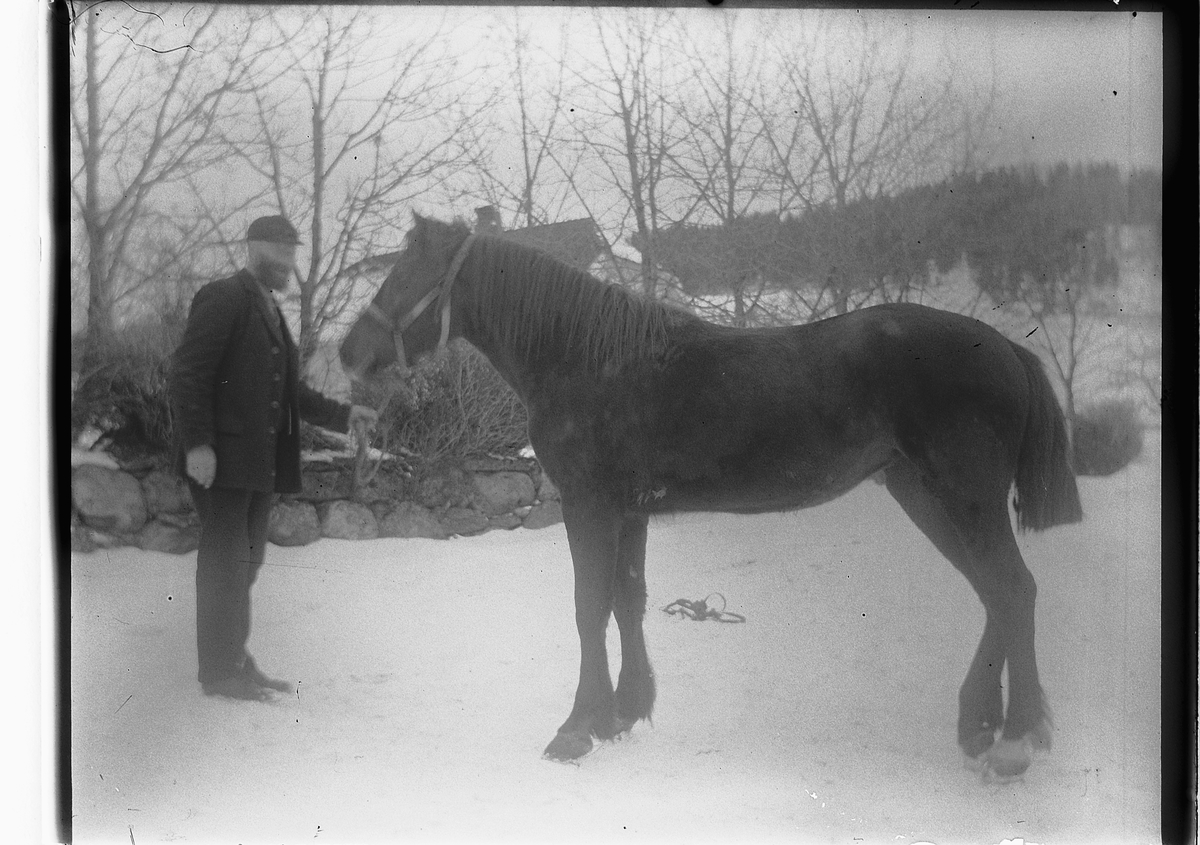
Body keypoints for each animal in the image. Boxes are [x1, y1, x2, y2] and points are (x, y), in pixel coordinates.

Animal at [340, 212, 1089, 777]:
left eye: (409, 275)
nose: (349, 352)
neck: (590, 358)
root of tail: (1005, 348)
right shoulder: (630, 510)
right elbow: (627, 600)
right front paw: (624, 711)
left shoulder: (589, 506)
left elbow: (588, 607)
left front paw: (577, 726)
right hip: (924, 496)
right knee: (997, 595)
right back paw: (980, 725)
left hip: (963, 498)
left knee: (1012, 590)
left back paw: (1014, 740)